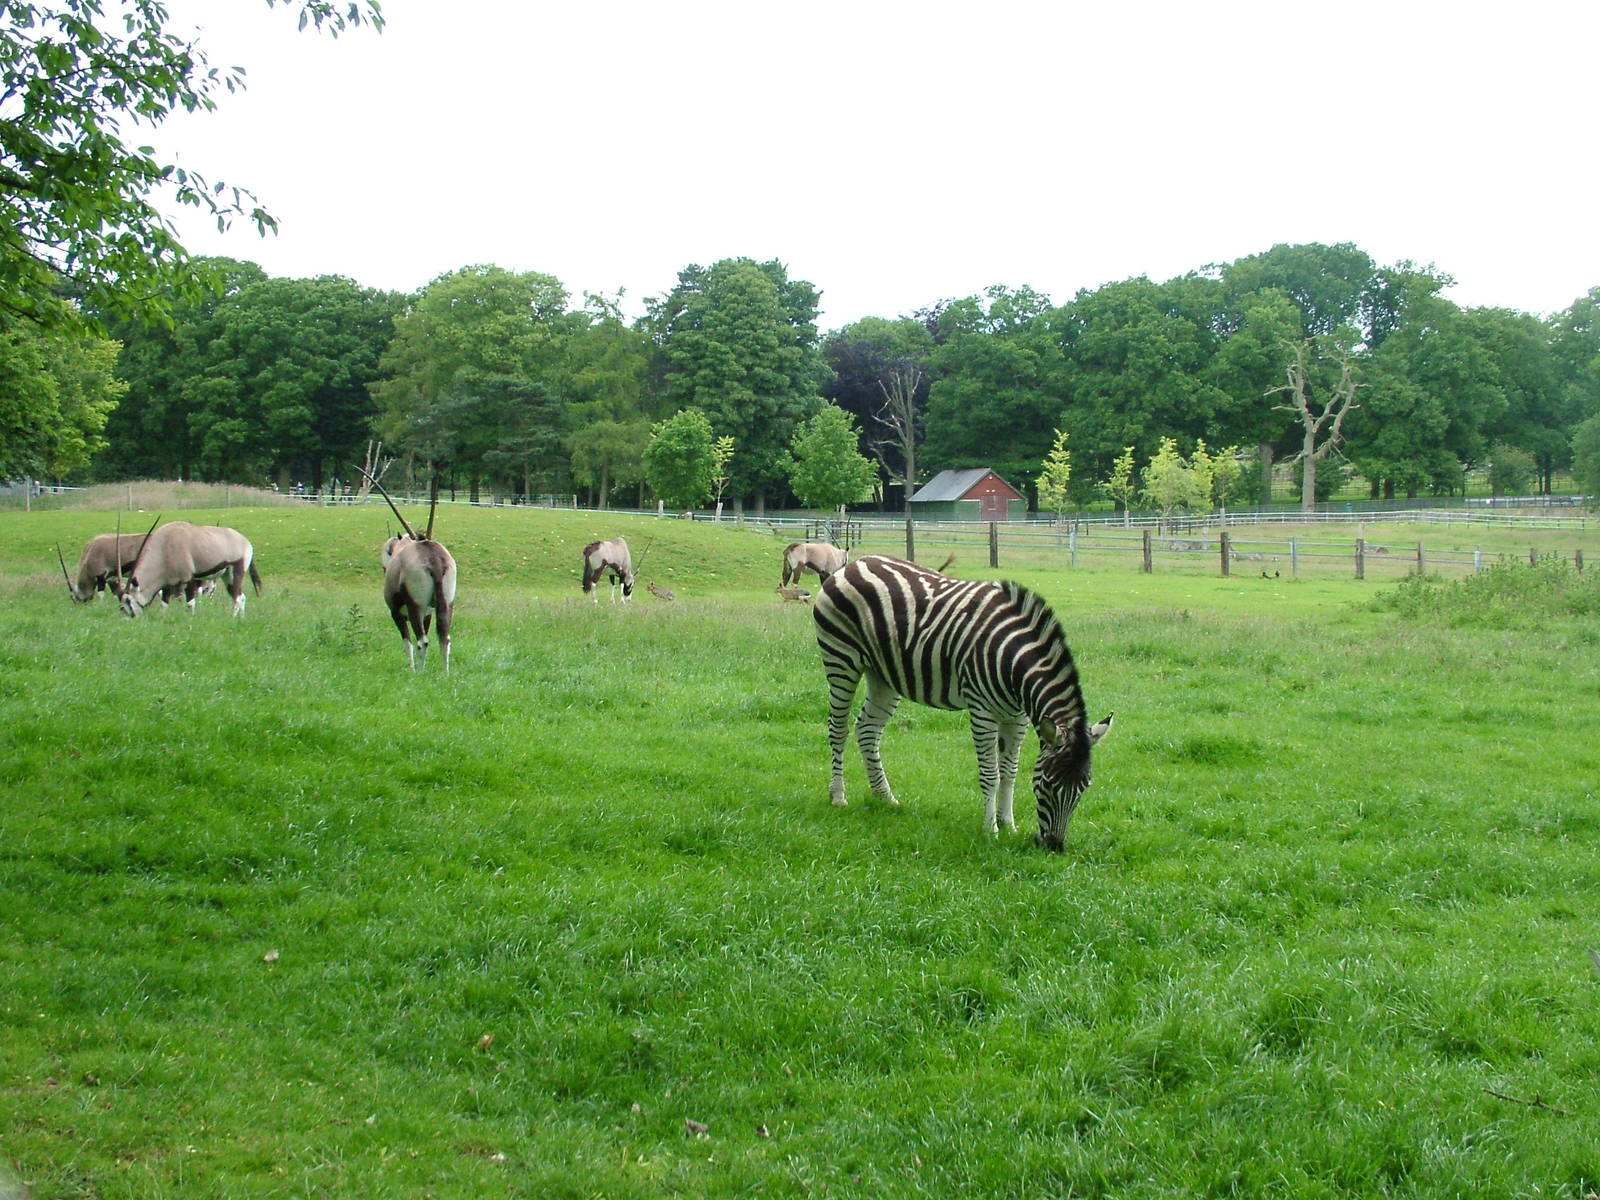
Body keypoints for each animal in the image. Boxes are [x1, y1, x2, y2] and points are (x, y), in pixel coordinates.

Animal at [813, 554, 1112, 850]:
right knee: (838, 729)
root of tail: (854, 564)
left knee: (867, 730)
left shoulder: (1017, 717)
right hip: (841, 659)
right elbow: (991, 773)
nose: (1054, 846)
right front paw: (991, 830)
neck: (1013, 661)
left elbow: (1010, 772)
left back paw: (885, 797)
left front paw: (1009, 824)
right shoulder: (982, 710)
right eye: (1048, 784)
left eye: (1084, 788)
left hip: (883, 674)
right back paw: (838, 795)